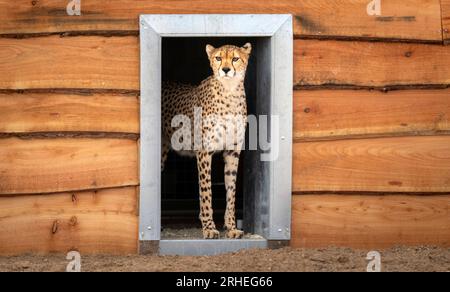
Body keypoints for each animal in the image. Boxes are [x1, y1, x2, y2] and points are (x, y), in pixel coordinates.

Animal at [162, 43, 253, 240]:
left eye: (235, 58)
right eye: (218, 58)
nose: (225, 70)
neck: (229, 92)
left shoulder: (233, 151)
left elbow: (231, 191)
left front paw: (231, 227)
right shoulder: (204, 151)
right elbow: (206, 191)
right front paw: (209, 227)